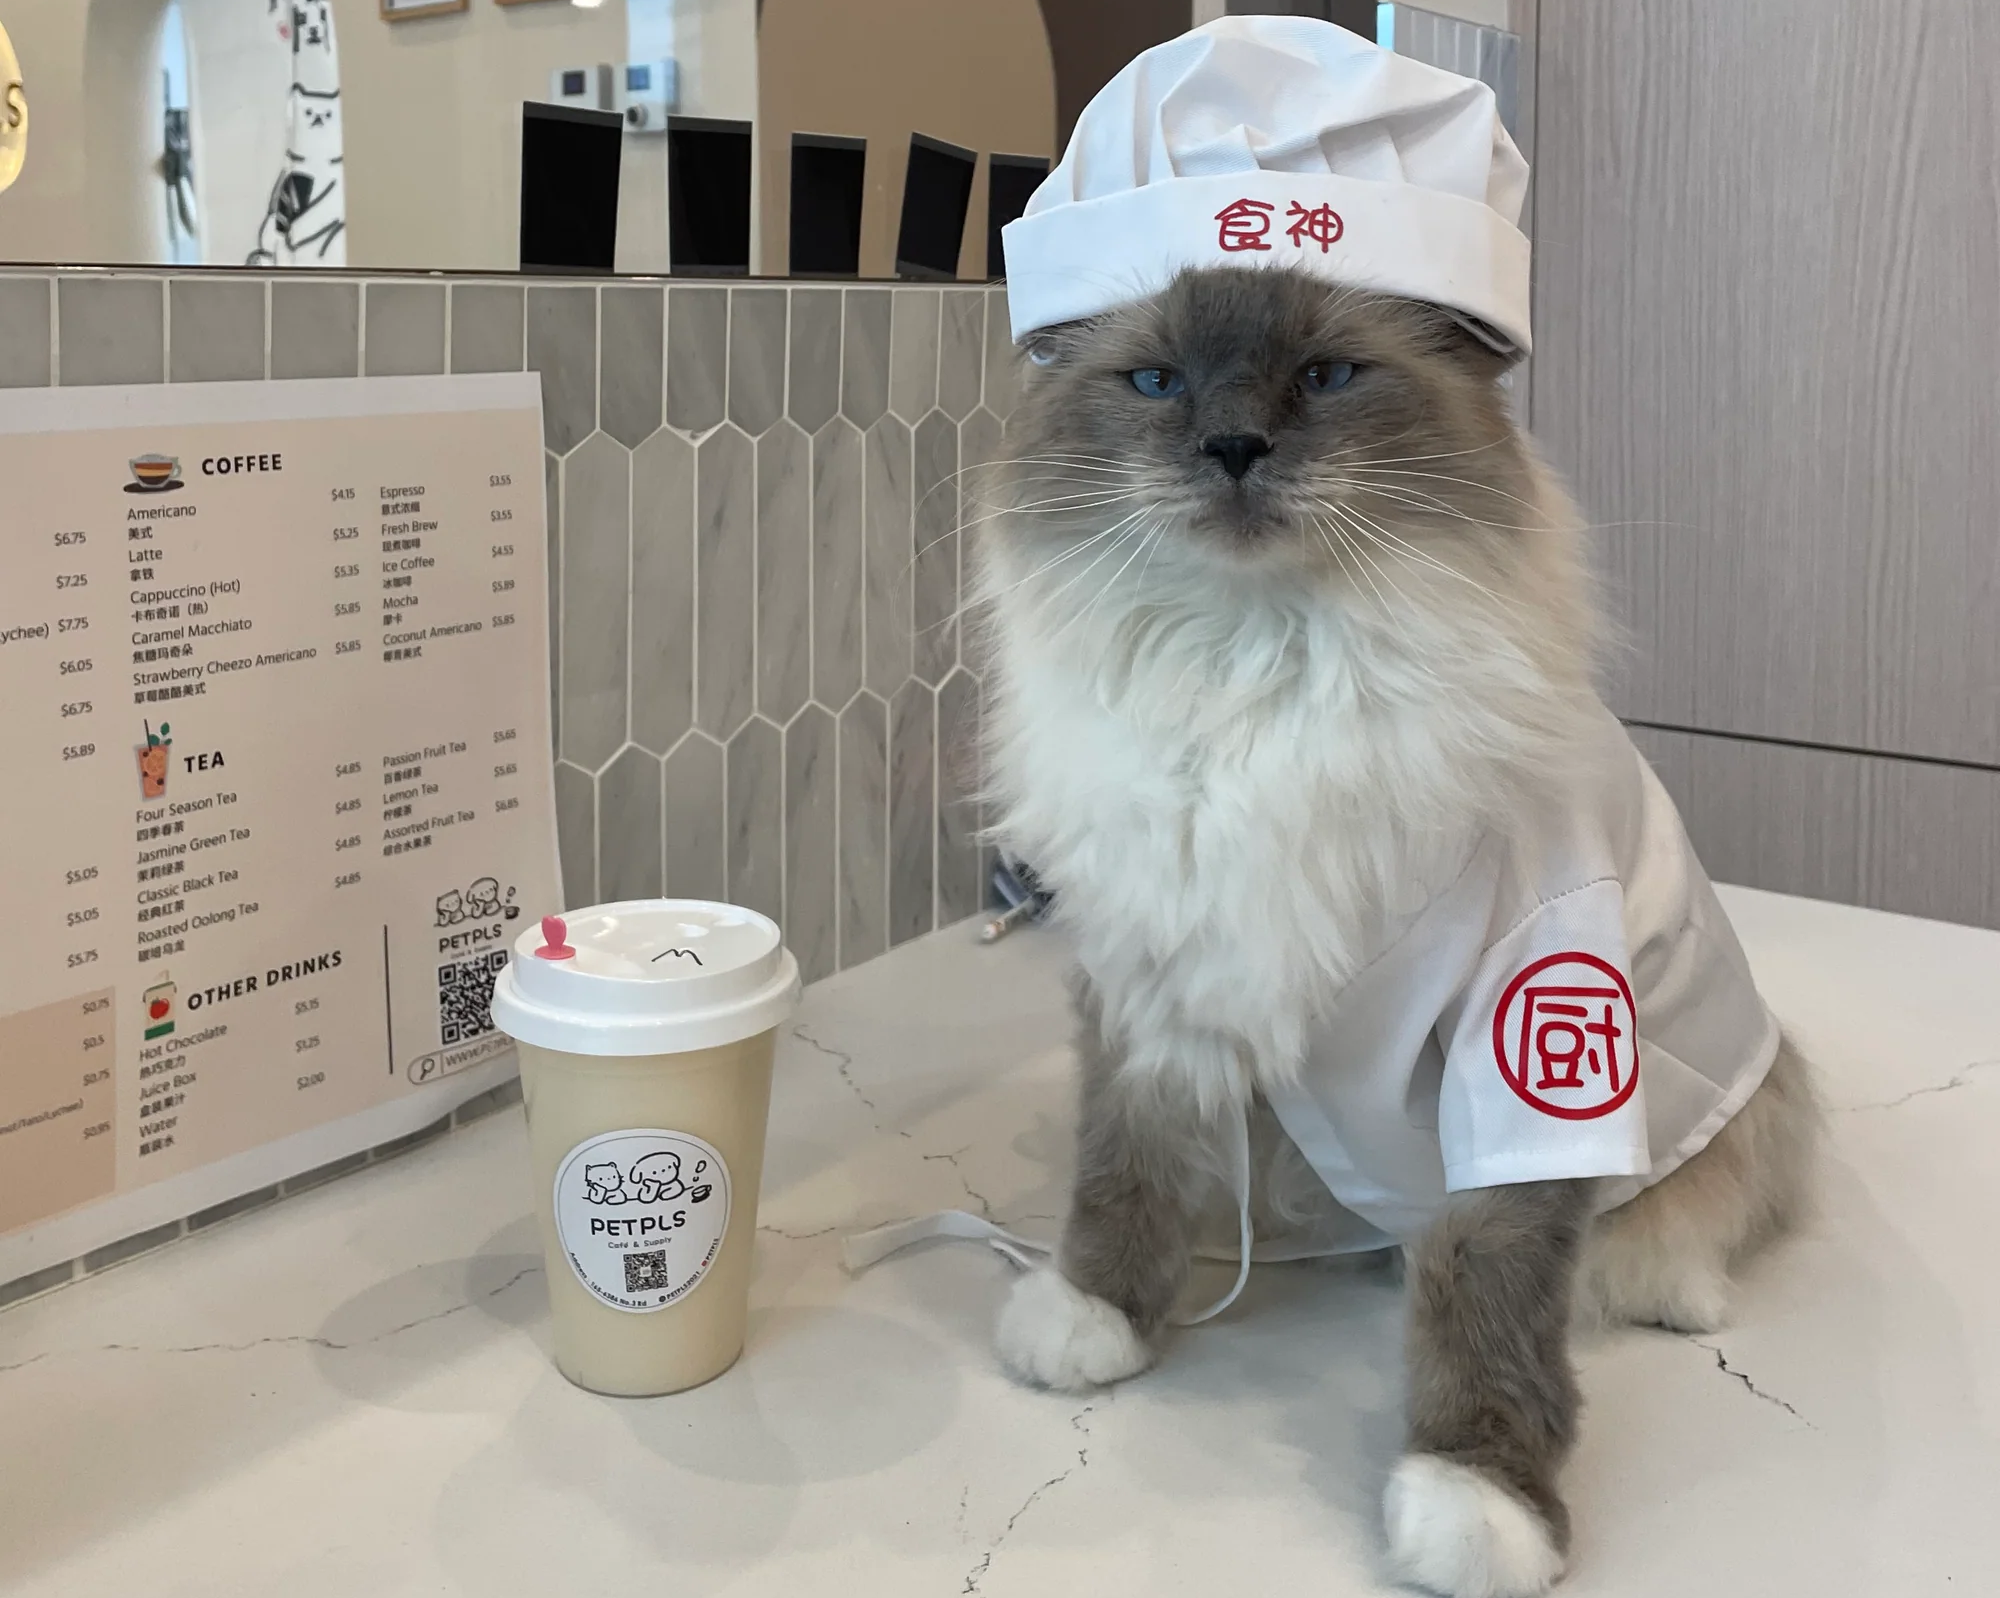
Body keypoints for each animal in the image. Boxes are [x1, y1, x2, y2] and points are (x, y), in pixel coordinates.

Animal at [976, 266, 1824, 1598]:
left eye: (1327, 375)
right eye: (1155, 380)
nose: (1231, 444)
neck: (1254, 667)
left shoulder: (1523, 1032)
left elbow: (1486, 1288)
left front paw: (1477, 1504)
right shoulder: (1154, 974)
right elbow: (1122, 1172)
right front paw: (1092, 1318)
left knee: (1671, 1237)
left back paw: (1663, 1290)